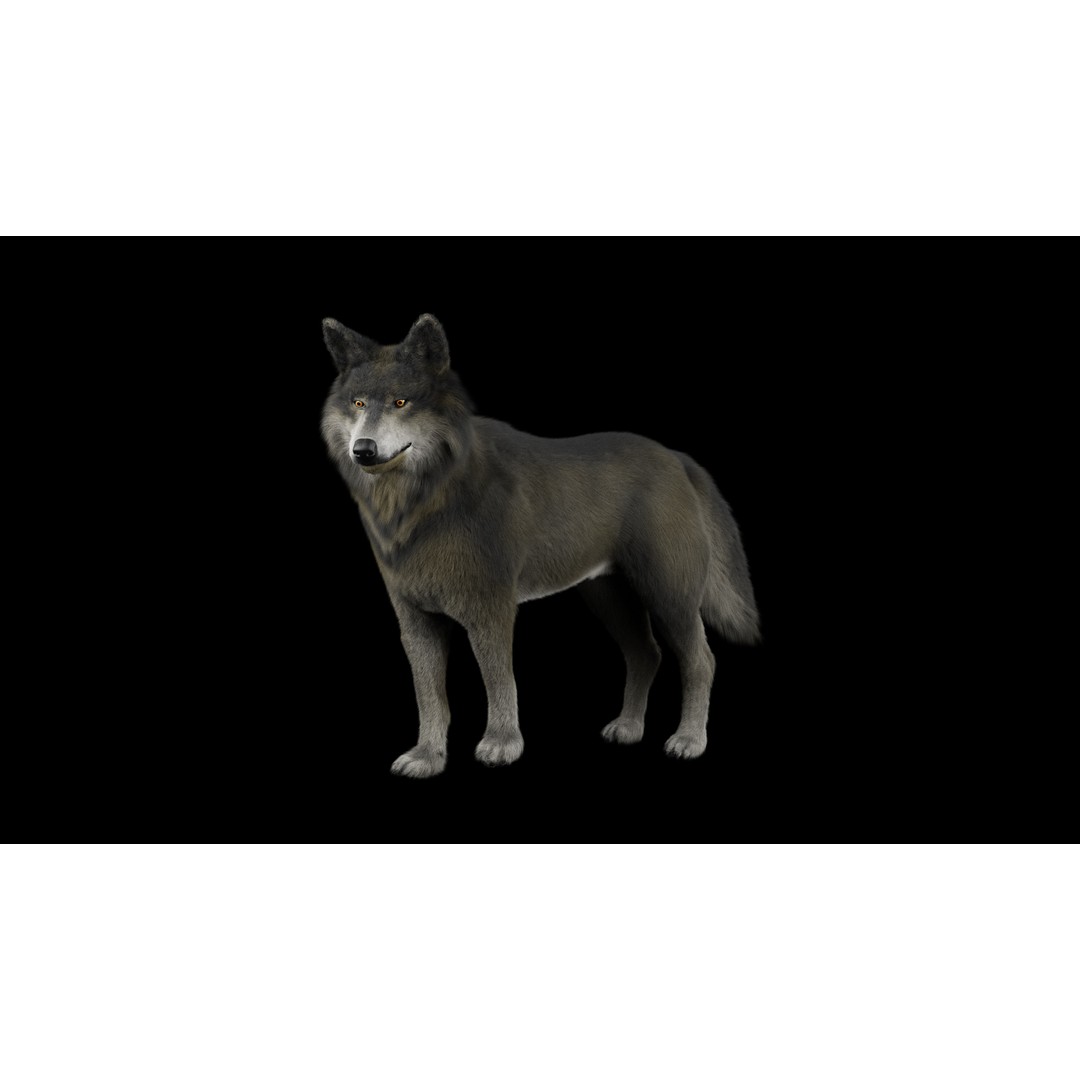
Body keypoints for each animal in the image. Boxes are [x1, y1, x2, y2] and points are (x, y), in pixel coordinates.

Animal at [321, 314, 760, 778]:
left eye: (401, 402)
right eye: (358, 403)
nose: (363, 450)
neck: (421, 502)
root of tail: (677, 458)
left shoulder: (490, 611)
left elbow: (499, 680)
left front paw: (501, 745)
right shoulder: (416, 621)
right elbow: (430, 697)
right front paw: (426, 757)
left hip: (668, 595)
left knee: (700, 661)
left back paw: (689, 740)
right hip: (608, 598)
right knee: (647, 655)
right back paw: (627, 728)